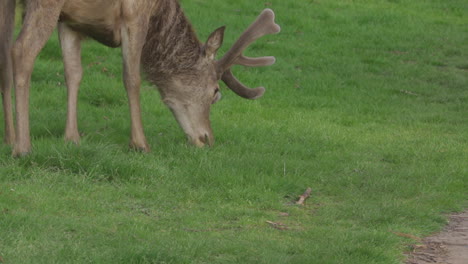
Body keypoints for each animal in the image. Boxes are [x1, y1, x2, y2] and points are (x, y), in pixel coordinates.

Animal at [0, 0, 280, 157]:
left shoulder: (70, 20)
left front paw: (72, 138)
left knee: (5, 58)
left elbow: (74, 73)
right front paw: (140, 144)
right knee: (21, 50)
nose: (207, 139)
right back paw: (23, 148)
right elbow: (132, 78)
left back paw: (10, 138)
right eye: (215, 92)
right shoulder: (134, 14)